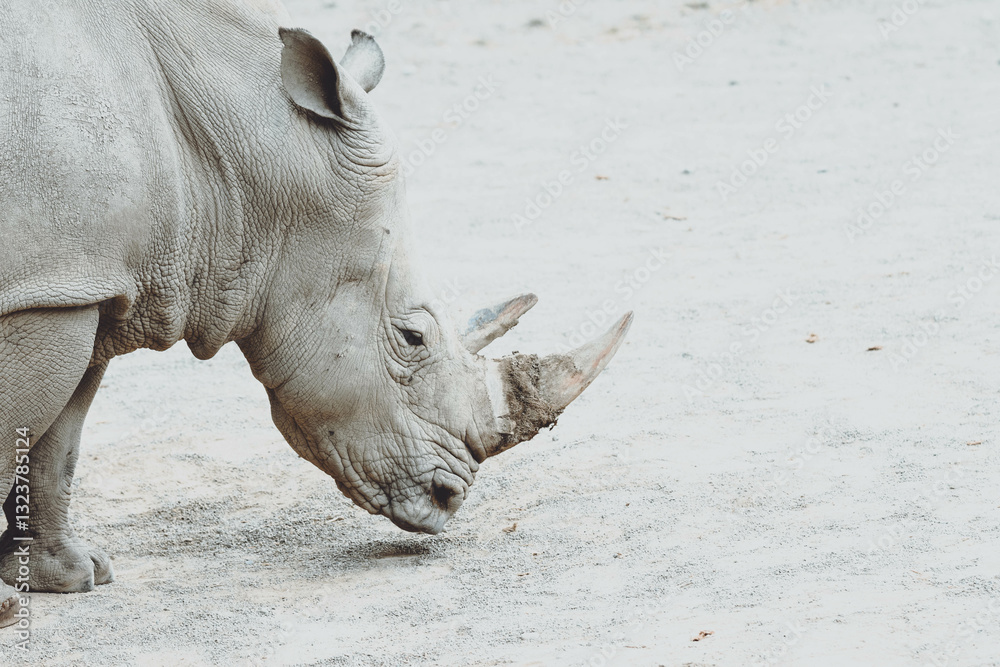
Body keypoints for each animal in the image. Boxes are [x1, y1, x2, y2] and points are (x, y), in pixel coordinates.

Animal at [0, 0, 631, 626]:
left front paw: (68, 577)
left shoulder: (83, 284)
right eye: (412, 337)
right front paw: (10, 607)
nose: (448, 501)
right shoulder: (53, 288)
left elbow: (57, 440)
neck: (235, 166)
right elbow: (19, 426)